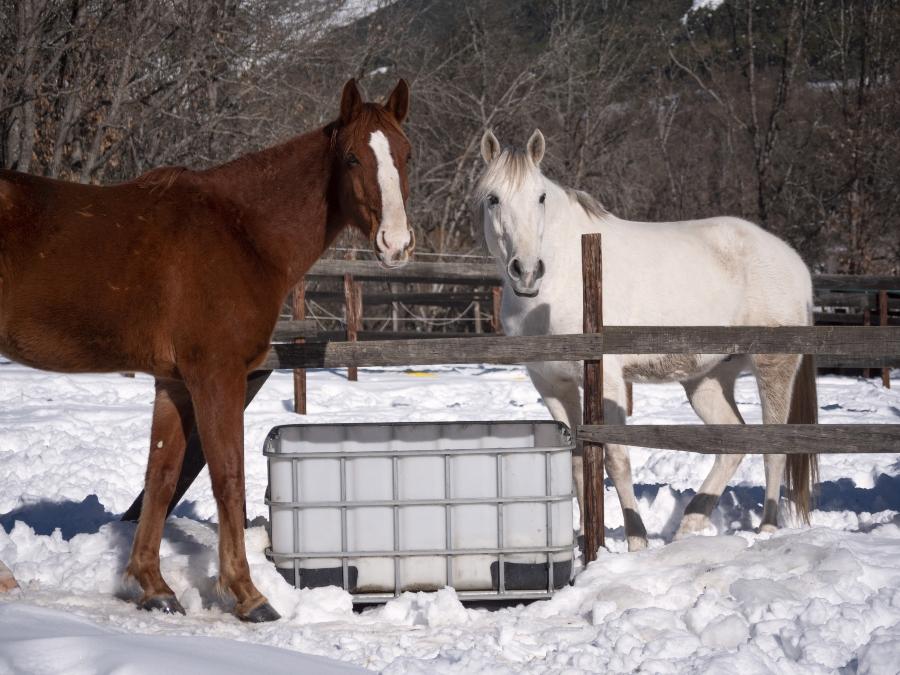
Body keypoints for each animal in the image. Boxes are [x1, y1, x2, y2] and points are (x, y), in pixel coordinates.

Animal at [0, 79, 414, 624]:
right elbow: (228, 476)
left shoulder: (174, 382)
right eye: (350, 158)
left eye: (406, 155)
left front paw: (153, 587)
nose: (396, 244)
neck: (241, 231)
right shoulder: (217, 375)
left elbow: (161, 478)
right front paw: (248, 594)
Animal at [478, 129, 816, 552]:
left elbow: (616, 460)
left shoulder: (605, 381)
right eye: (492, 198)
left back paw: (767, 529)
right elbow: (576, 461)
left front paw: (635, 541)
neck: (563, 274)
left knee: (775, 449)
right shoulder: (551, 383)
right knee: (733, 444)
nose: (526, 271)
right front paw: (589, 540)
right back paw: (689, 524)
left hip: (774, 367)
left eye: (540, 197)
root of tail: (794, 263)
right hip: (708, 379)